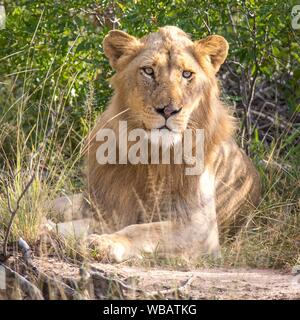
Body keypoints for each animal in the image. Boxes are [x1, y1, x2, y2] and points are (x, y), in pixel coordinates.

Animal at [50, 26, 262, 262]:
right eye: (148, 71)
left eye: (187, 74)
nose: (168, 110)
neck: (152, 155)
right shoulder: (108, 209)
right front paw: (48, 229)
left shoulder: (201, 228)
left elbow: (144, 230)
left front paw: (104, 243)